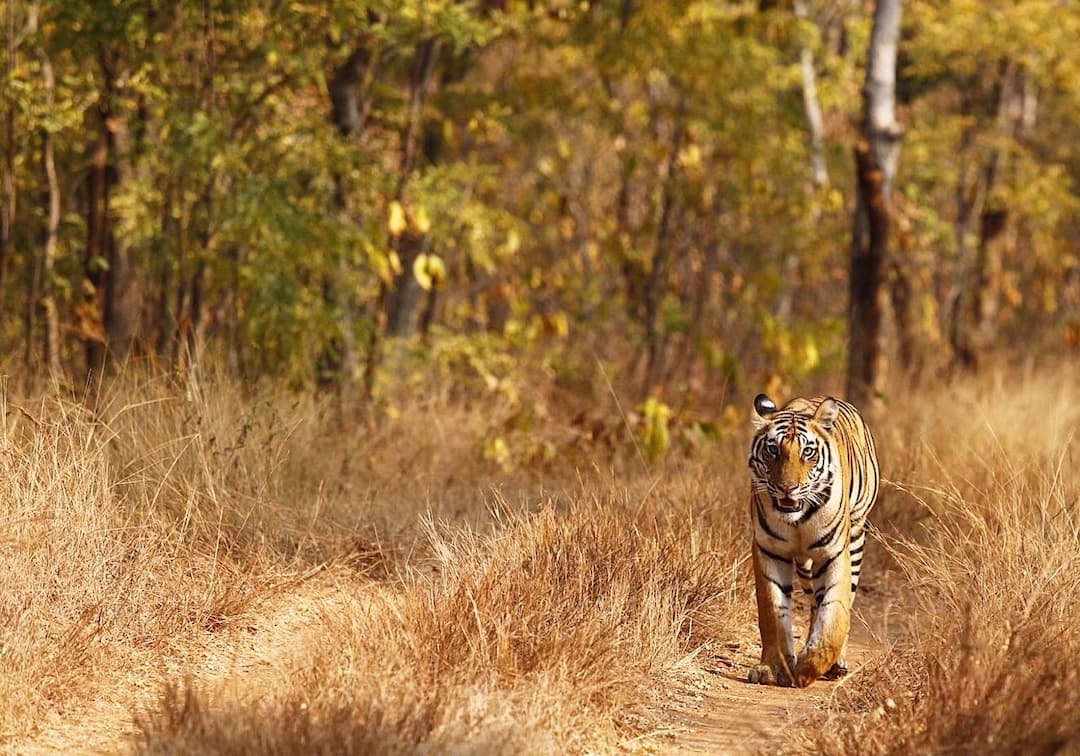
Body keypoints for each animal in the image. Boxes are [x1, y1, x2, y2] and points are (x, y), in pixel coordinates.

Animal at [747, 393, 881, 686]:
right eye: (772, 450)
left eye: (807, 452)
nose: (787, 488)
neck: (797, 520)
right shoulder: (769, 550)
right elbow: (772, 612)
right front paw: (776, 667)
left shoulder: (834, 553)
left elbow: (834, 613)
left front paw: (810, 667)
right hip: (805, 565)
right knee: (812, 603)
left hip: (856, 534)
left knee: (840, 600)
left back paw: (835, 664)